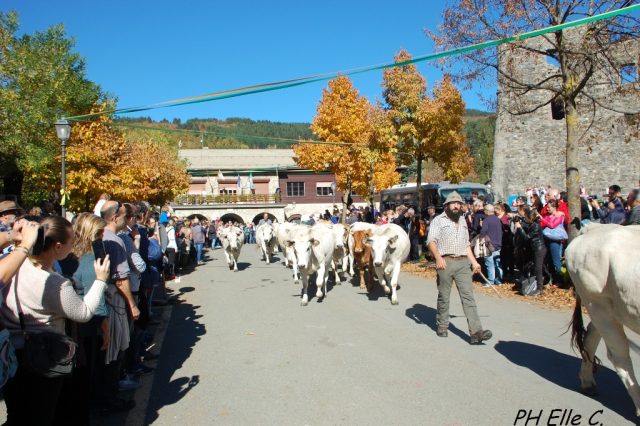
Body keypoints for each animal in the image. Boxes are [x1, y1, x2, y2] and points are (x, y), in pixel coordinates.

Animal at [568, 226, 640, 416]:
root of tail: (593, 227)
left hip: (606, 309)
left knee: (592, 335)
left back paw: (587, 383)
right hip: (598, 304)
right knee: (619, 356)